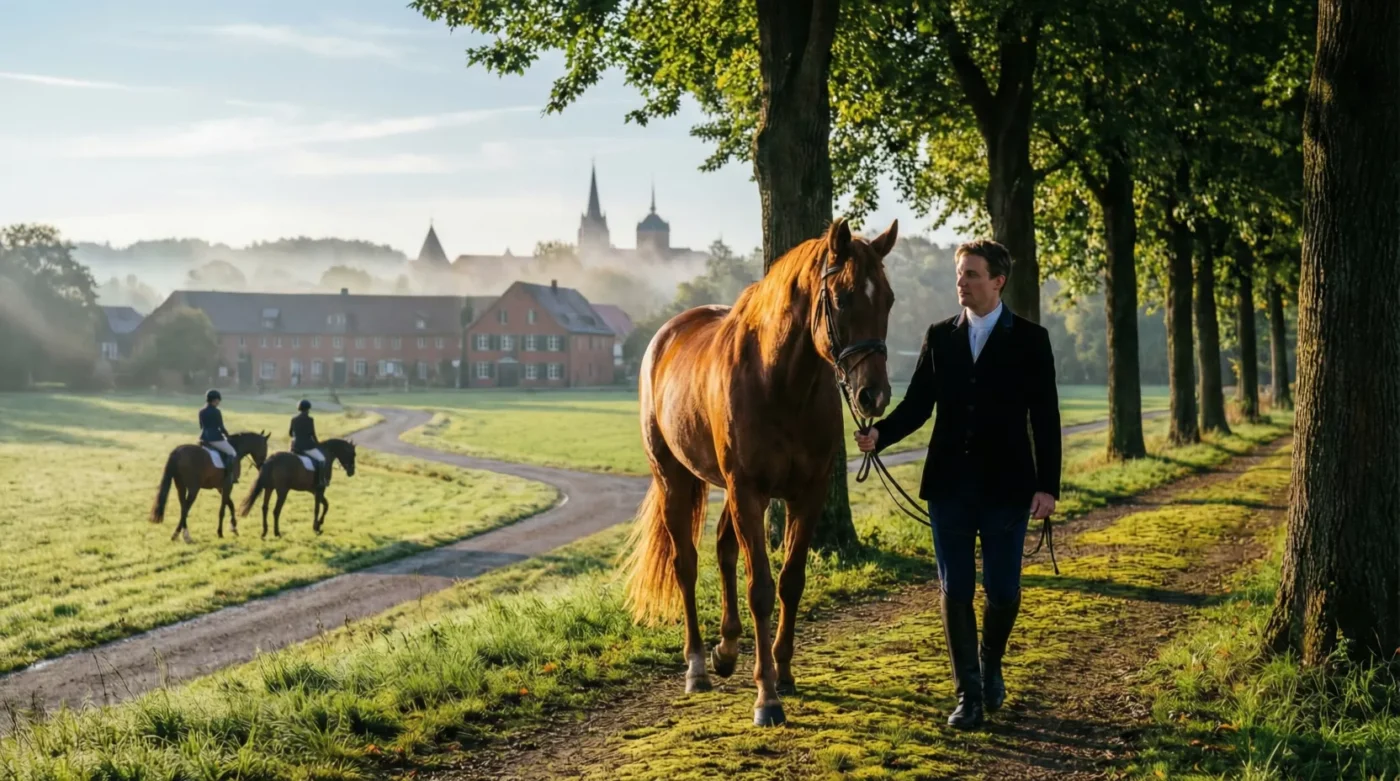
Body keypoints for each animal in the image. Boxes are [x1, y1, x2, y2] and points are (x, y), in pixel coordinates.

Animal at [623, 217, 898, 727]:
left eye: (888, 299)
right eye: (843, 297)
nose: (874, 396)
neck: (780, 383)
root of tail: (665, 337)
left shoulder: (805, 495)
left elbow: (791, 581)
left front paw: (784, 673)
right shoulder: (748, 492)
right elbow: (762, 590)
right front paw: (766, 695)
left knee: (723, 548)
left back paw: (727, 649)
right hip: (677, 480)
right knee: (687, 564)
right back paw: (697, 665)